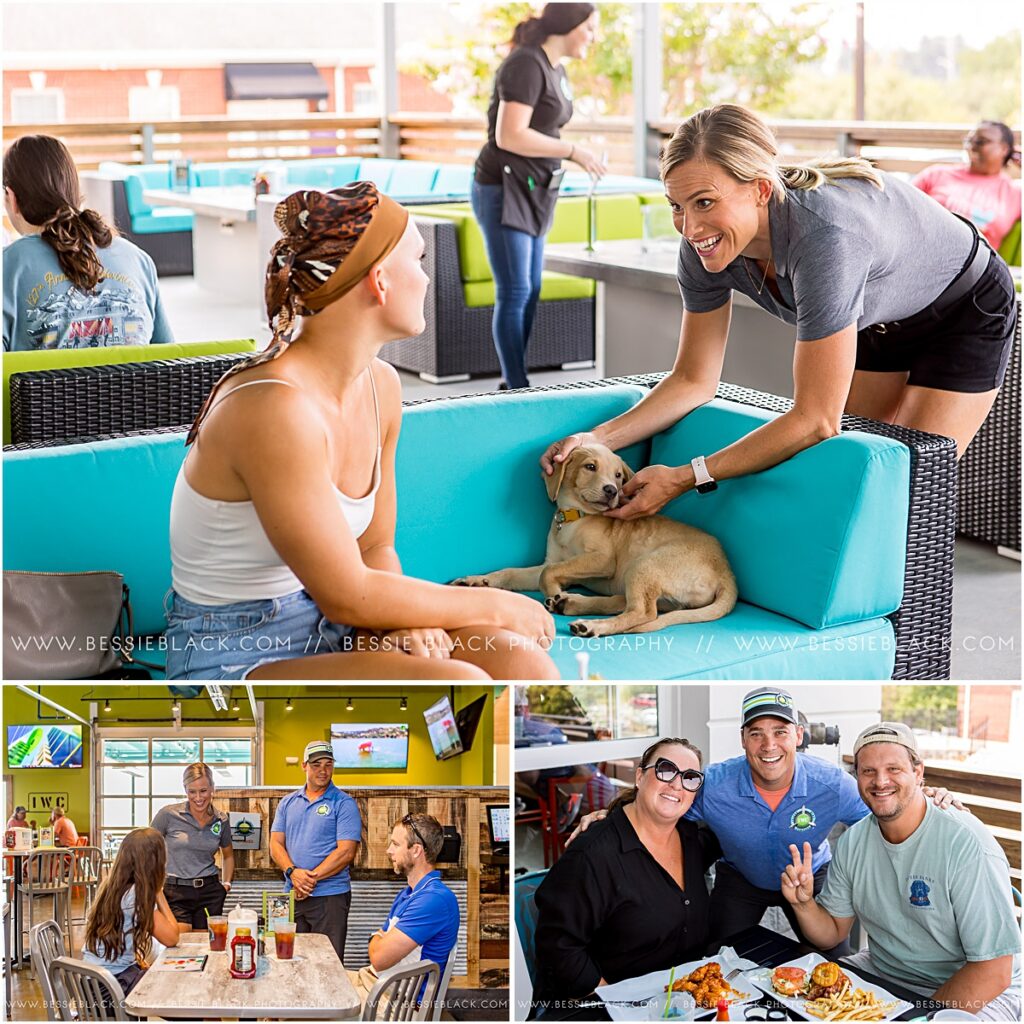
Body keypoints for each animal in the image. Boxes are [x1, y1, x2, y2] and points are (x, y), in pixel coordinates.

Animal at [452, 444, 733, 634]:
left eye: (618, 475)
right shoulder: (550, 561)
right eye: (590, 467)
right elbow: (513, 572)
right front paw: (479, 580)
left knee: (642, 612)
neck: (574, 517)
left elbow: (549, 575)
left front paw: (554, 594)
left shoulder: (602, 560)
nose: (612, 491)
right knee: (627, 603)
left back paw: (590, 624)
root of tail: (728, 573)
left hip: (644, 565)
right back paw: (572, 604)